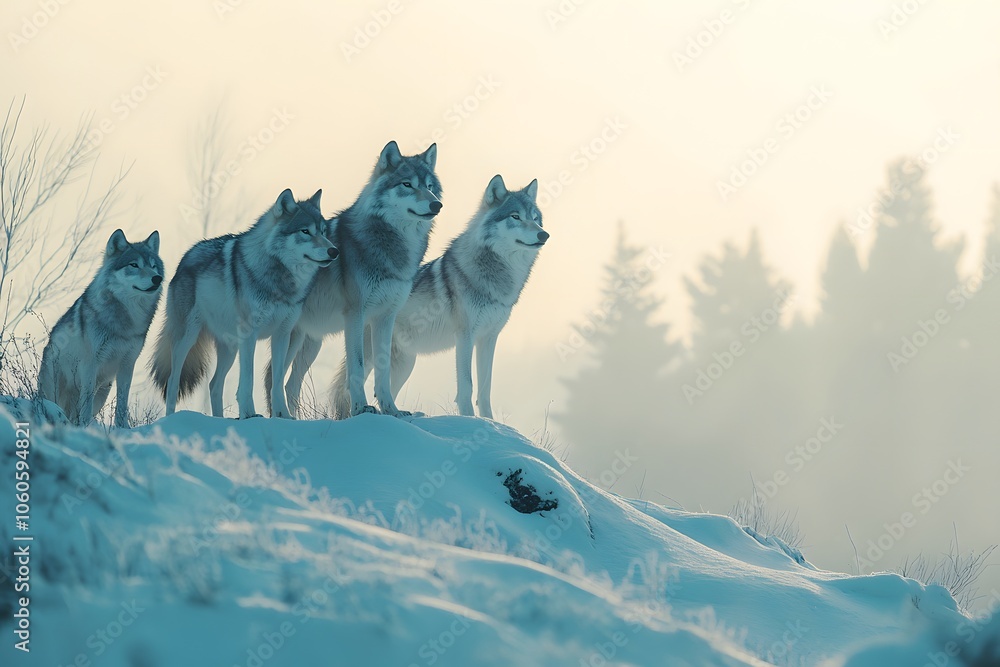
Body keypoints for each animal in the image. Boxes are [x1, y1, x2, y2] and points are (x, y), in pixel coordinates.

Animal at [37, 229, 164, 427]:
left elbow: (122, 402)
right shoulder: (90, 364)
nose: (157, 278)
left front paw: (123, 428)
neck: (126, 321)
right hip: (57, 389)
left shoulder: (128, 364)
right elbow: (86, 401)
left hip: (103, 391)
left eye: (153, 266)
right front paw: (85, 426)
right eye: (134, 265)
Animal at [150, 189, 336, 419]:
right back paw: (172, 418)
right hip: (187, 338)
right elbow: (247, 380)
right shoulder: (249, 336)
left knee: (214, 385)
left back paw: (219, 420)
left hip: (229, 349)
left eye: (324, 232)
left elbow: (277, 381)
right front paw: (249, 414)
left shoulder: (282, 334)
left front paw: (283, 415)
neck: (280, 281)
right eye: (305, 231)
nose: (334, 251)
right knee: (173, 382)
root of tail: (186, 257)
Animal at [267, 141, 442, 418]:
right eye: (407, 184)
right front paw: (361, 408)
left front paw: (392, 410)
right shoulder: (356, 315)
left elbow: (383, 370)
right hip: (291, 338)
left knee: (289, 384)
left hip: (311, 341)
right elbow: (357, 367)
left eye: (430, 186)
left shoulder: (385, 317)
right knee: (271, 379)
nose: (436, 205)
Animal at [330, 175, 545, 419]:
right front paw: (468, 418)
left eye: (536, 219)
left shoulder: (489, 338)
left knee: (382, 389)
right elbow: (467, 386)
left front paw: (490, 423)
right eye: (515, 216)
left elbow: (485, 389)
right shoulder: (465, 336)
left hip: (406, 363)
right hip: (372, 356)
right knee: (348, 386)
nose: (544, 234)